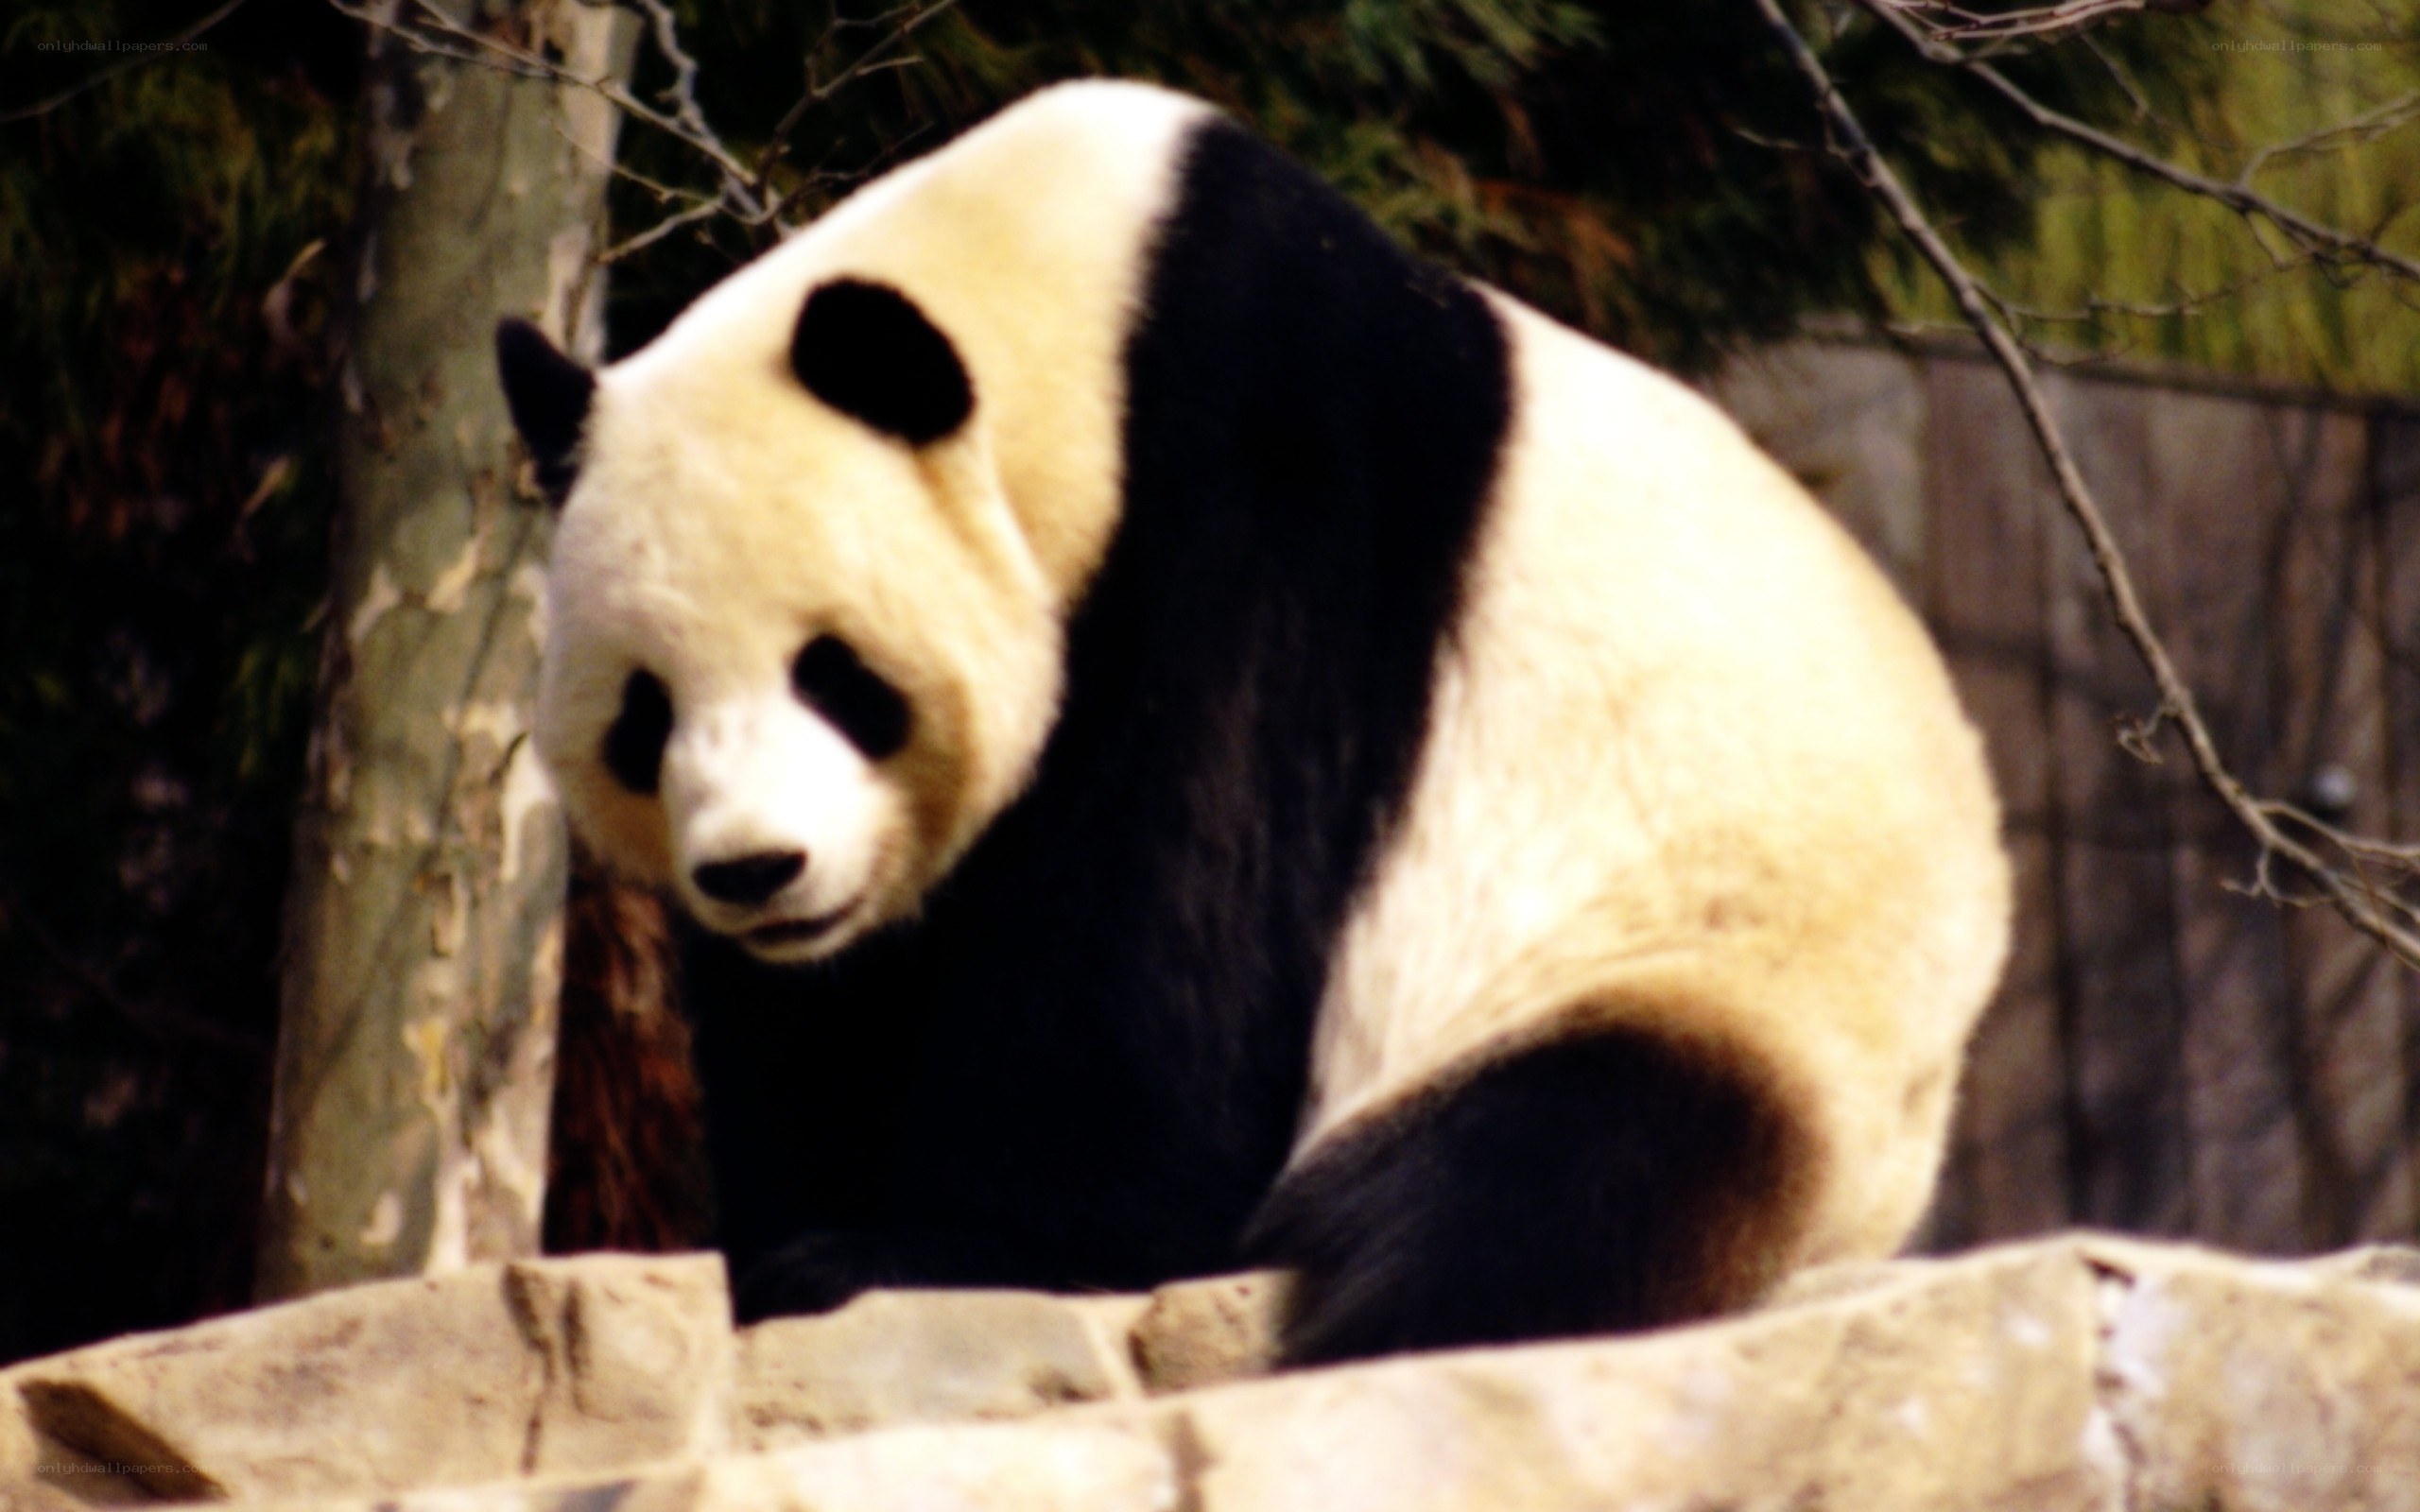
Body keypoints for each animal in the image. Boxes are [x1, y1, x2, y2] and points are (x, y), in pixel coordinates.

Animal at [496, 79, 2009, 1366]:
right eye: (646, 715)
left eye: (835, 675)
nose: (758, 872)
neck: (1079, 305)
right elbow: (830, 1008)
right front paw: (791, 1235)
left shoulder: (1262, 499)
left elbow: (1171, 918)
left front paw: (933, 1249)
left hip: (1709, 971)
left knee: (1547, 1185)